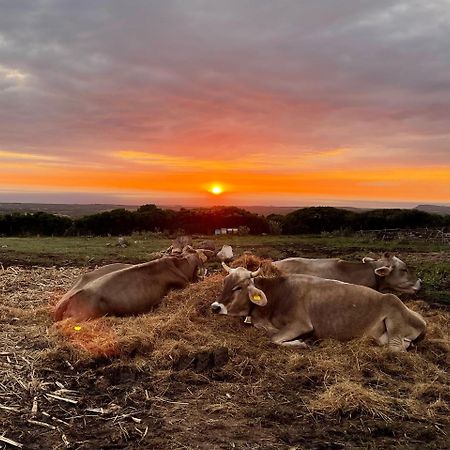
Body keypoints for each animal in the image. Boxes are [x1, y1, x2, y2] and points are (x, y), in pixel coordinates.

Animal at [213, 264, 428, 352]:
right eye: (224, 282)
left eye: (238, 287)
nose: (215, 307)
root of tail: (423, 321)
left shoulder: (301, 324)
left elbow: (273, 339)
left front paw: (302, 343)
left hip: (393, 311)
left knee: (396, 349)